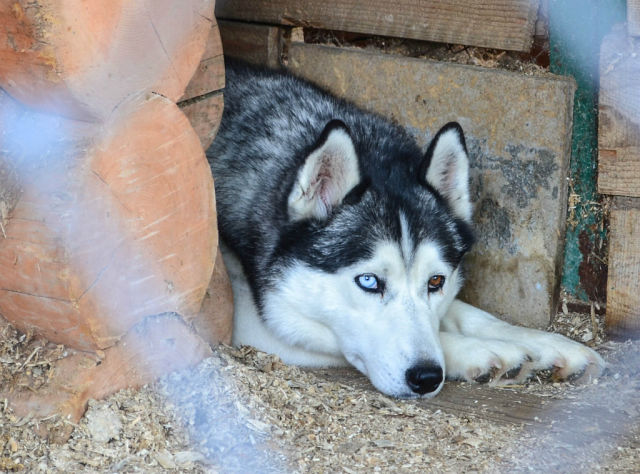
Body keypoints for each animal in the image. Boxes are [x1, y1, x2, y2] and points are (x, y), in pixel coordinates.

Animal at [206, 61, 604, 398]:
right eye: (369, 282)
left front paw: (542, 343)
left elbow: (468, 313)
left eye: (436, 281)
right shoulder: (249, 318)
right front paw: (480, 350)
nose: (426, 377)